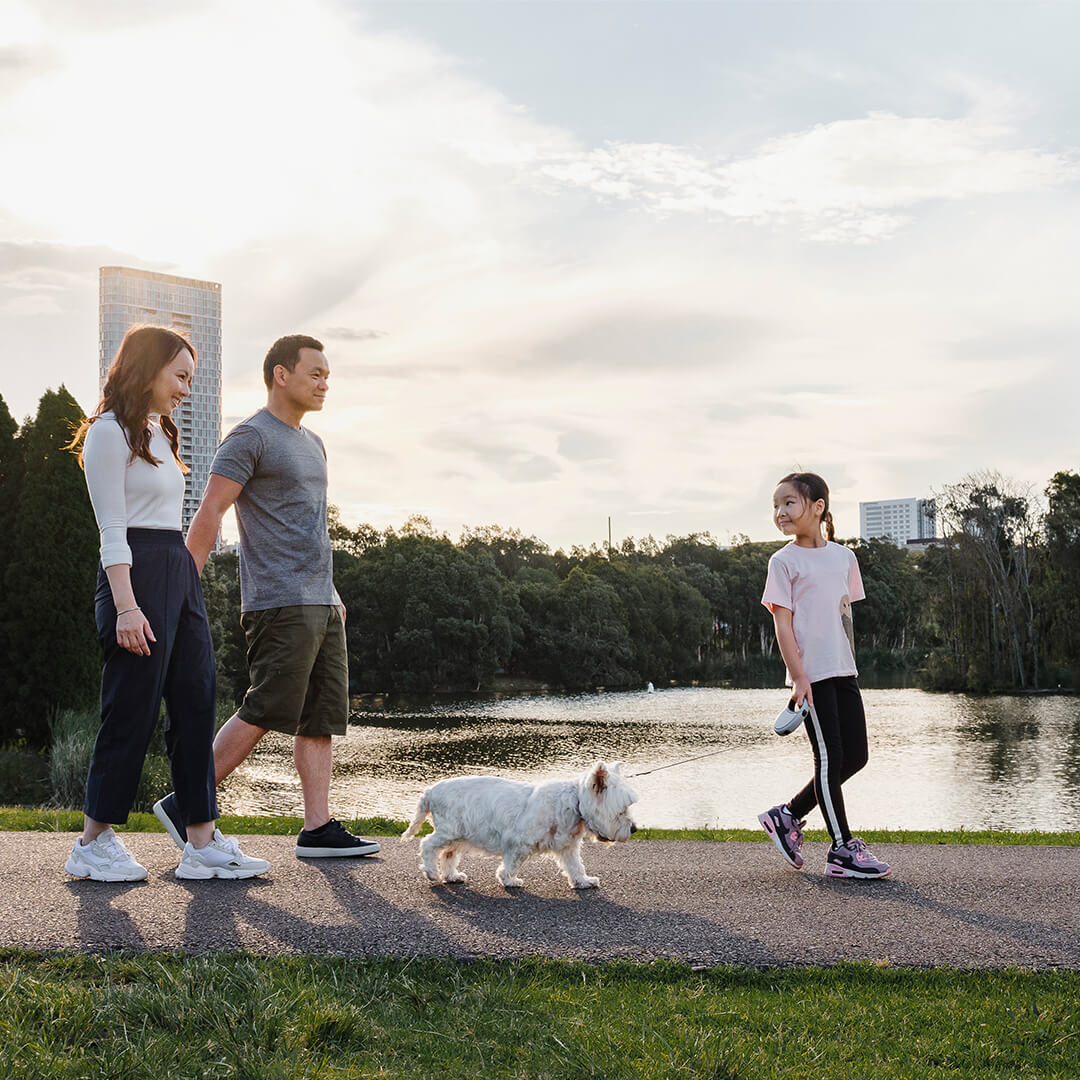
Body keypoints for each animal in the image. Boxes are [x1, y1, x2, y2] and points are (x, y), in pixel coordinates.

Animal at [406, 760, 639, 885]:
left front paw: (584, 881)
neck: (575, 802)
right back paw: (431, 872)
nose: (635, 829)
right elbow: (512, 863)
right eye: (622, 810)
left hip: (459, 836)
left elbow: (576, 866)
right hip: (449, 831)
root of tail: (430, 791)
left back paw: (452, 876)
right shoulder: (518, 843)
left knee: (448, 854)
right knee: (427, 844)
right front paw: (508, 880)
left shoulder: (568, 846)